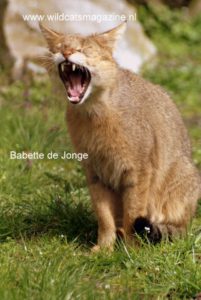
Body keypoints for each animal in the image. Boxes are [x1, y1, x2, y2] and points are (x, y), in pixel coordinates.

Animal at [39, 21, 201, 251]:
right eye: (60, 47)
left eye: (84, 49)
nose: (67, 53)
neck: (94, 116)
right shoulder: (95, 174)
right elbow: (104, 217)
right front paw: (104, 249)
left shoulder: (138, 173)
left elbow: (133, 213)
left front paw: (131, 250)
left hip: (184, 179)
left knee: (173, 227)